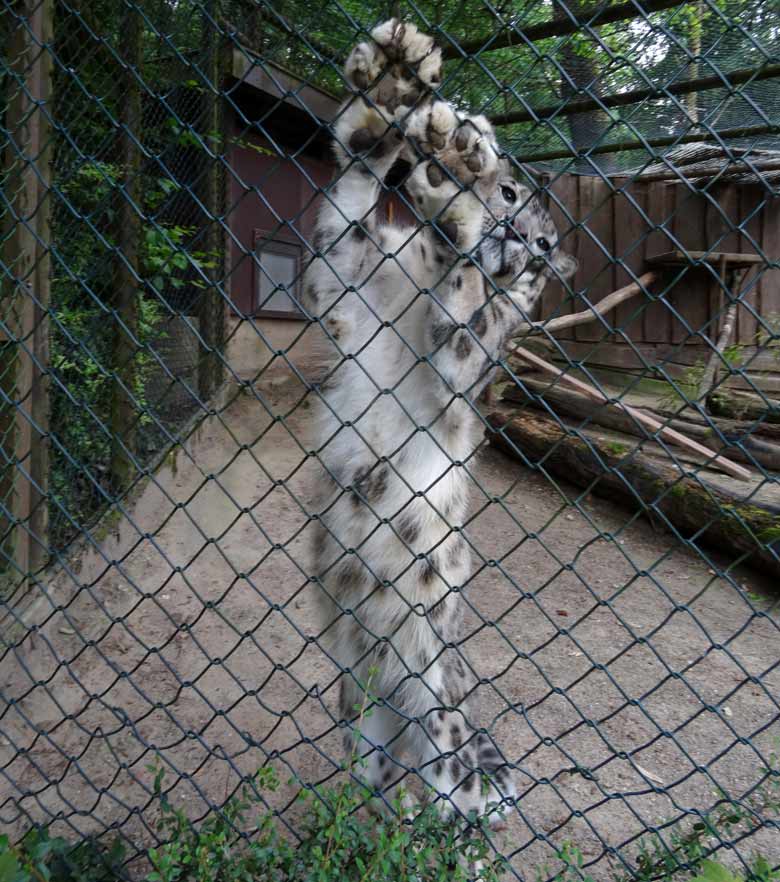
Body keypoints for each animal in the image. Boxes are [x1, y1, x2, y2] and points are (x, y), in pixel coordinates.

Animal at [302, 15, 576, 824]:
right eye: (510, 191)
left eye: (545, 250)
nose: (518, 243)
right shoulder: (344, 282)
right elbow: (353, 199)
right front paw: (396, 81)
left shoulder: (458, 369)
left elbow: (461, 318)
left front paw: (450, 206)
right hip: (360, 701)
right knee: (378, 774)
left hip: (438, 711)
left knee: (446, 789)